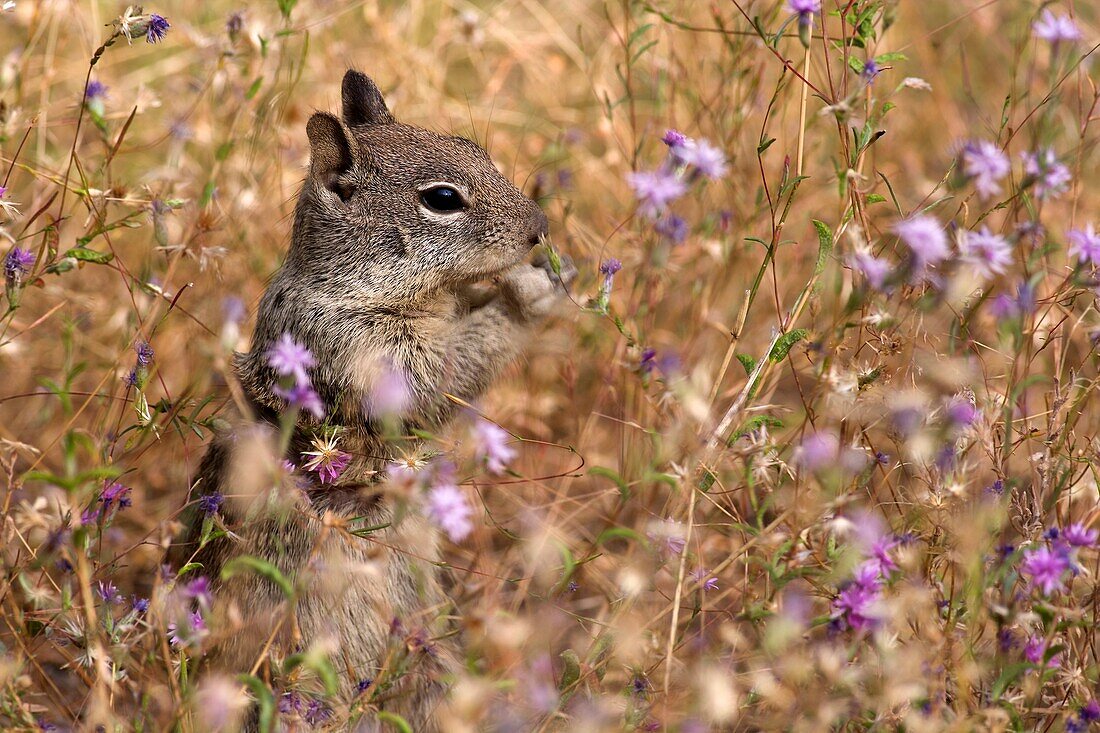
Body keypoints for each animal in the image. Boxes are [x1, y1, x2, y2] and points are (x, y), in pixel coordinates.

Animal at [168, 68, 580, 726]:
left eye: (475, 146)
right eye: (442, 199)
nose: (540, 229)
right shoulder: (374, 355)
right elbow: (448, 374)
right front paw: (532, 290)